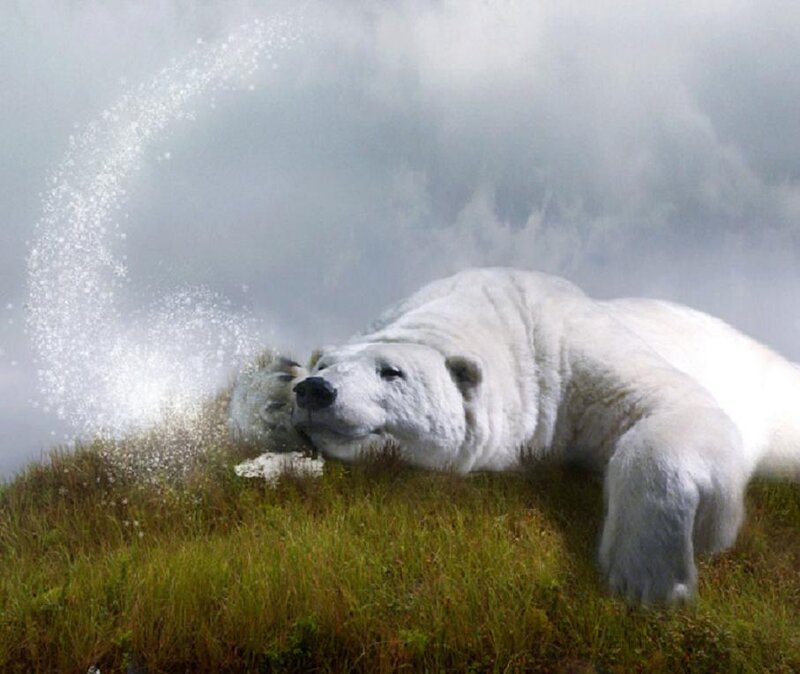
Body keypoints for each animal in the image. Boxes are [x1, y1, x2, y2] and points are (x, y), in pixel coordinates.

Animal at [235, 268, 800, 604]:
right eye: (324, 364)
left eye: (391, 372)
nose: (316, 390)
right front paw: (273, 396)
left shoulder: (573, 351)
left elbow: (679, 405)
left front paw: (650, 577)